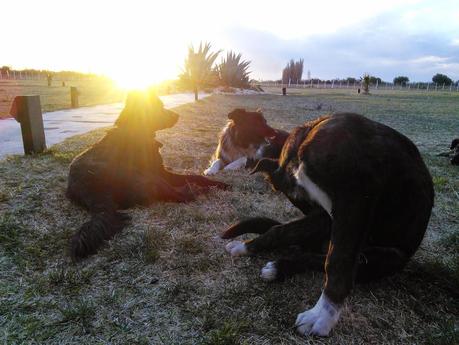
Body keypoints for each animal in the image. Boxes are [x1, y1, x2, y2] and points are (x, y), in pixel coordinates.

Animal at [66, 90, 228, 260]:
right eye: (159, 107)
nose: (177, 115)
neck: (137, 130)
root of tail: (91, 192)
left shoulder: (163, 171)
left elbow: (196, 176)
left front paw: (219, 183)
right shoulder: (160, 173)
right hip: (143, 175)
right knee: (179, 195)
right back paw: (198, 190)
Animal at [223, 112, 434, 336]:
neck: (304, 141)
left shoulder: (353, 201)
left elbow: (337, 262)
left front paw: (323, 314)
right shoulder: (326, 216)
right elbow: (281, 230)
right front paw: (246, 246)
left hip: (388, 257)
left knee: (322, 259)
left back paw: (281, 267)